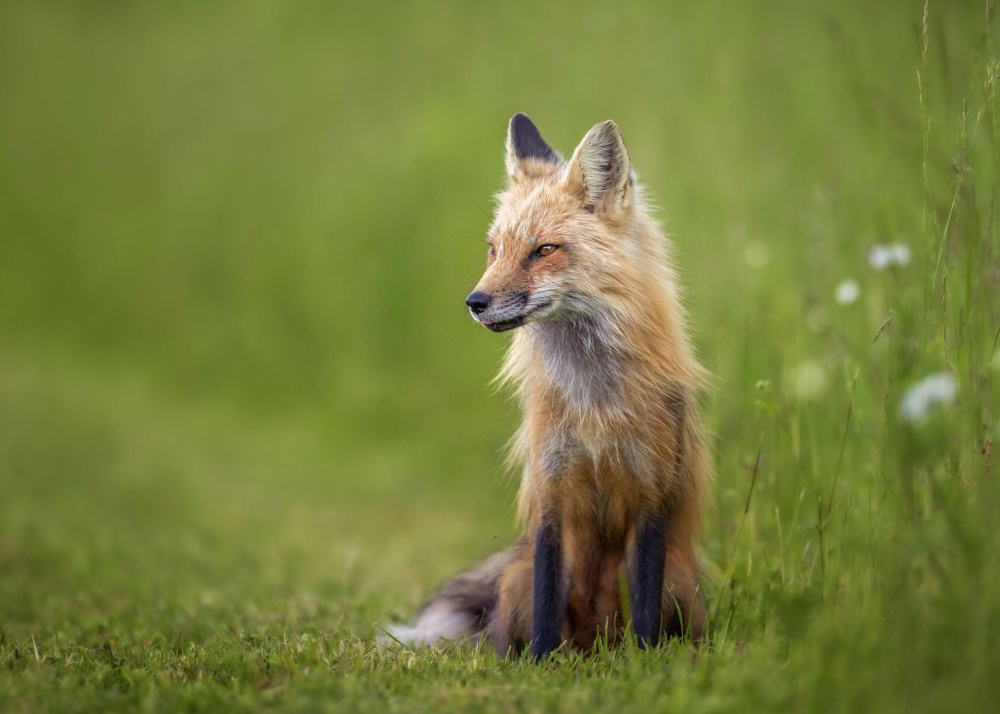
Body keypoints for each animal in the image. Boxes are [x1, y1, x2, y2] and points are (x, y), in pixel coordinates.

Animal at [388, 114, 710, 660]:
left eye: (543, 250)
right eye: (494, 250)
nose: (475, 302)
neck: (594, 403)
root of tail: (594, 642)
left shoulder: (651, 494)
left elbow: (645, 608)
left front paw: (647, 663)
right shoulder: (551, 490)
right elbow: (545, 601)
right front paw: (540, 665)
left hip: (682, 580)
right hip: (515, 579)